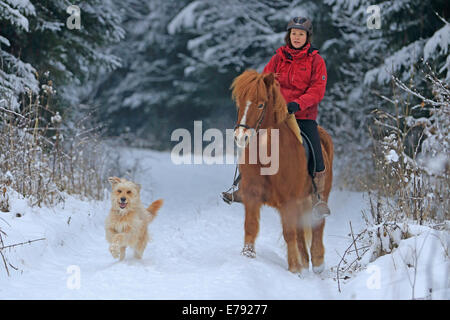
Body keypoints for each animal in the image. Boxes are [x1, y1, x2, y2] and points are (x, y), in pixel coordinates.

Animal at [230, 69, 332, 274]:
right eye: (239, 102)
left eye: (261, 104)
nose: (240, 137)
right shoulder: (252, 195)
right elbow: (251, 226)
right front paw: (247, 256)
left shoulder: (288, 200)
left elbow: (289, 232)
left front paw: (294, 269)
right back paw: (305, 260)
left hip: (320, 195)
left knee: (318, 225)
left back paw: (317, 263)